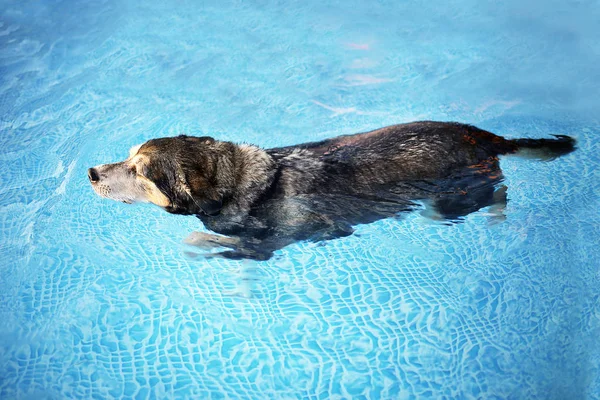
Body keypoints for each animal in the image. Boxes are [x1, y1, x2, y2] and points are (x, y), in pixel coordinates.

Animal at [86, 121, 576, 260]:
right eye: (127, 158)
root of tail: (485, 135)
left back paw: (500, 216)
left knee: (497, 193)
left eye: (139, 172)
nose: (91, 172)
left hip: (451, 198)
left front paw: (196, 242)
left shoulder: (281, 239)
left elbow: (219, 242)